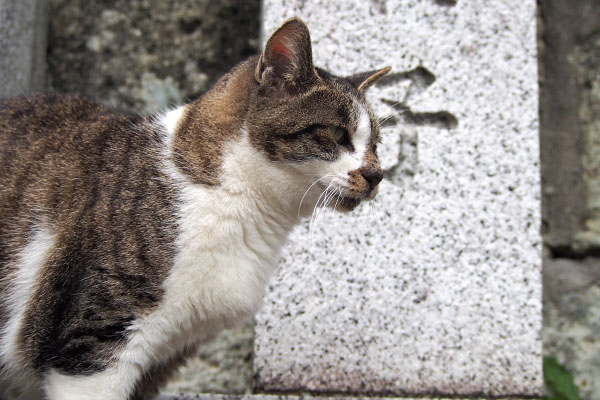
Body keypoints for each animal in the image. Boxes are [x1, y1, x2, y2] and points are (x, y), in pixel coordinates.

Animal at [0, 17, 390, 398]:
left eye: (375, 144)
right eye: (338, 134)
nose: (377, 175)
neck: (239, 201)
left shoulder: (165, 357)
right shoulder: (94, 344)